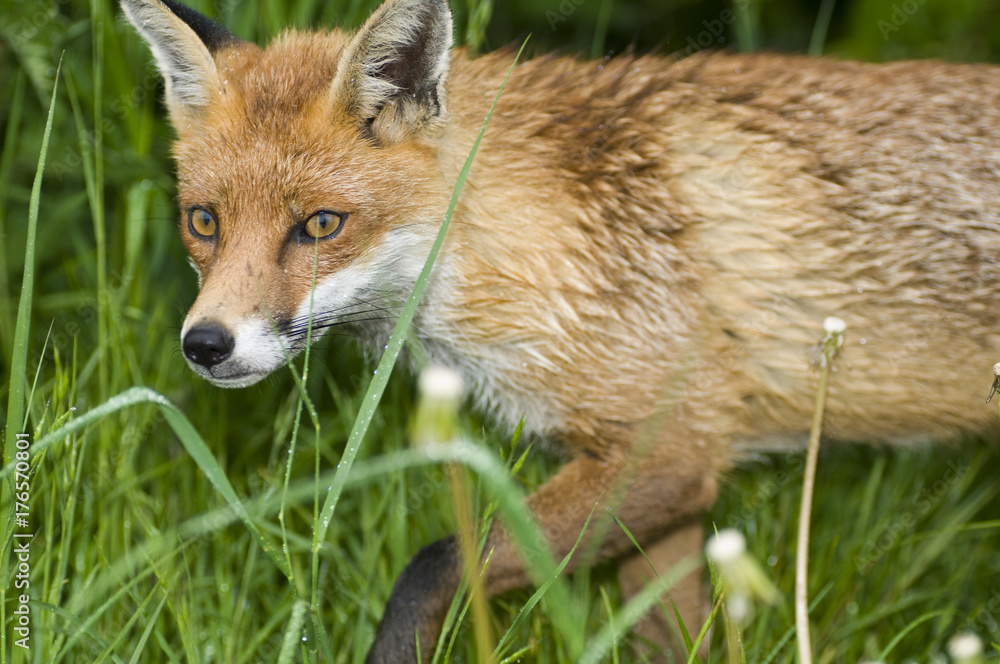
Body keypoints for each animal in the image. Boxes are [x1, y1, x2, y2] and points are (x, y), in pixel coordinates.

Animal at [120, 0, 1000, 660]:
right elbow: (668, 635)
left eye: (321, 225)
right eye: (204, 221)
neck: (531, 245)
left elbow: (437, 560)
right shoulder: (661, 488)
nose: (206, 344)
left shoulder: (672, 450)